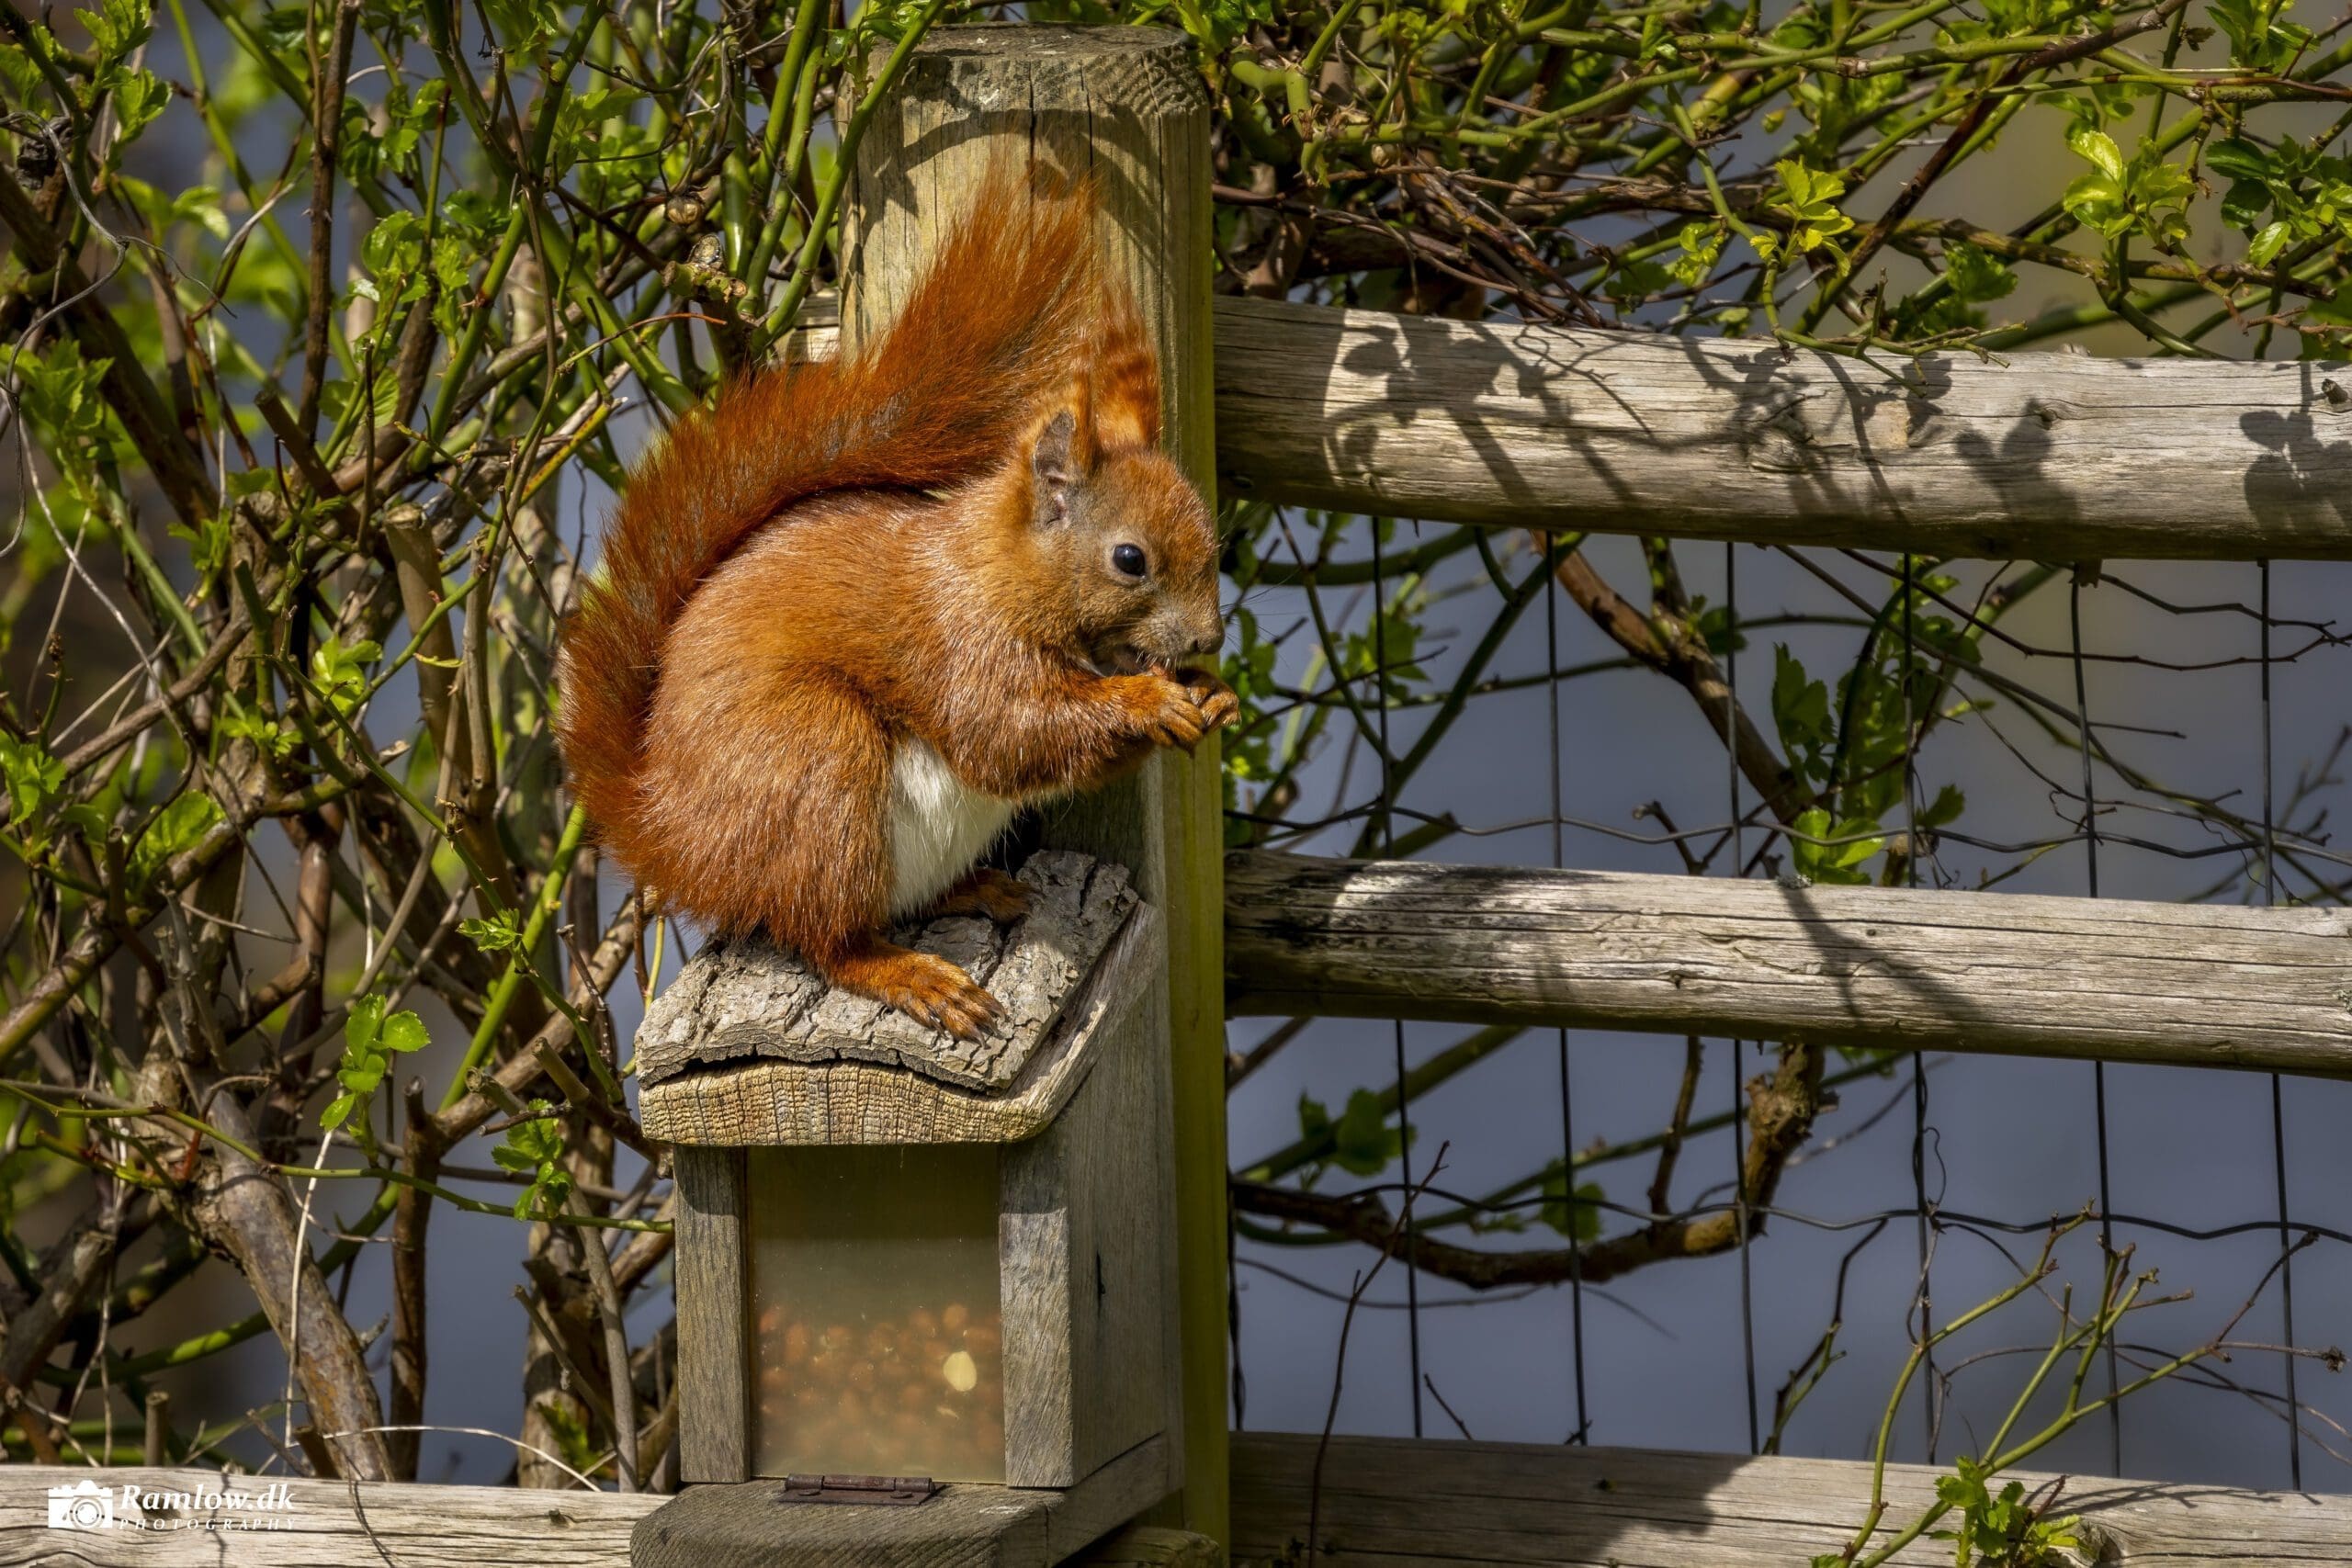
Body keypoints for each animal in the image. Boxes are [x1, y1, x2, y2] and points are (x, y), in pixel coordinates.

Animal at [555, 169, 1234, 1040]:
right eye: (1130, 560)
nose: (1210, 637)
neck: (996, 574)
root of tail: (672, 835)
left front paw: (1210, 695)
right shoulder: (957, 642)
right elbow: (1007, 732)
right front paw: (1149, 700)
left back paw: (974, 889)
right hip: (815, 765)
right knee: (827, 939)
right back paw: (911, 975)